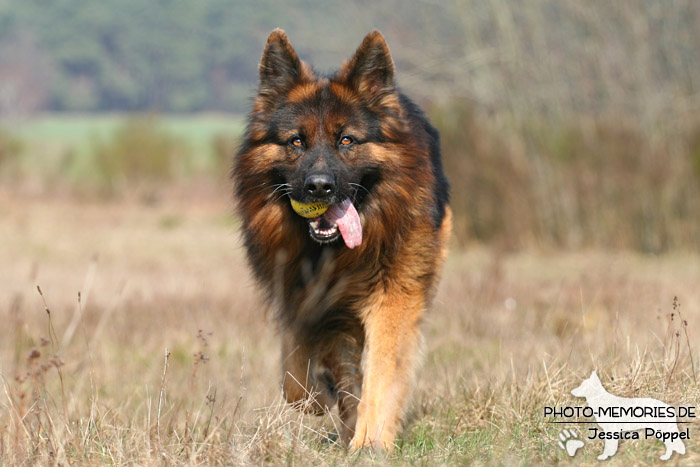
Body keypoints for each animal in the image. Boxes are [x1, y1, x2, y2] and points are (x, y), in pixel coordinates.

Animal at [232, 28, 452, 450]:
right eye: (296, 142)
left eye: (347, 141)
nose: (319, 187)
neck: (333, 254)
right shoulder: (306, 303)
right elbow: (297, 380)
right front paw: (322, 397)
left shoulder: (393, 297)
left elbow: (381, 371)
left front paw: (370, 442)